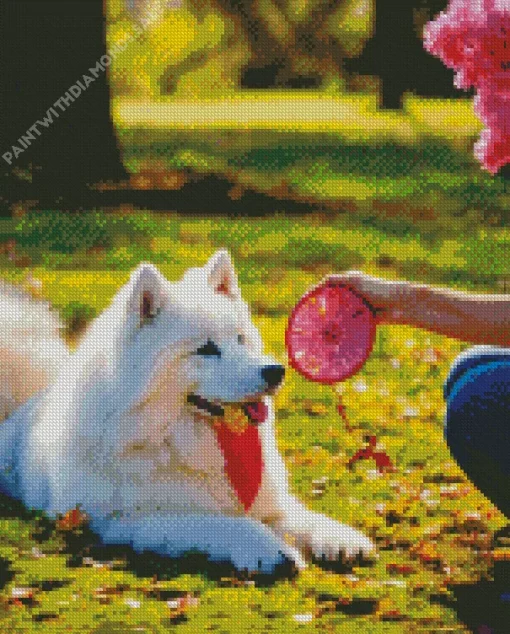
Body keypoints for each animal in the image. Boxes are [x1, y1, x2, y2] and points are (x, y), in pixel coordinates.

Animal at [0, 249, 374, 572]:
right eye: (206, 349)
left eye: (240, 339)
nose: (275, 371)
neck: (180, 440)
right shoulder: (130, 519)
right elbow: (227, 523)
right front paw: (271, 549)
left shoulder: (270, 503)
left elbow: (303, 517)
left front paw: (341, 539)